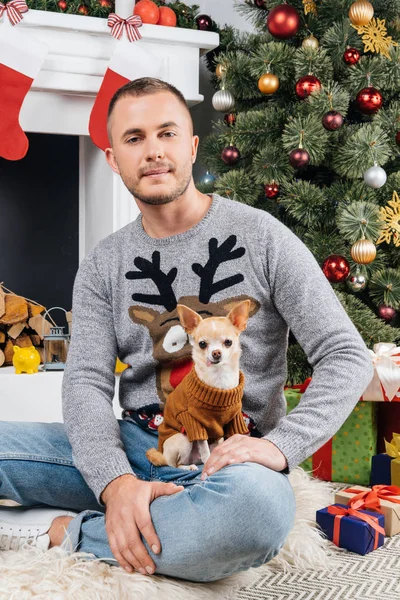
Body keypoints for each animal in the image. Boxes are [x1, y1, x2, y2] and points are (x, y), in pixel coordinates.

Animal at [145, 298, 250, 468]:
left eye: (228, 342)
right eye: (202, 344)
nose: (216, 353)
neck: (219, 378)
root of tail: (162, 453)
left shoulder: (233, 420)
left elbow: (228, 440)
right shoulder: (195, 424)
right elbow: (205, 449)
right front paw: (209, 464)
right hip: (183, 438)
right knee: (174, 465)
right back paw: (190, 467)